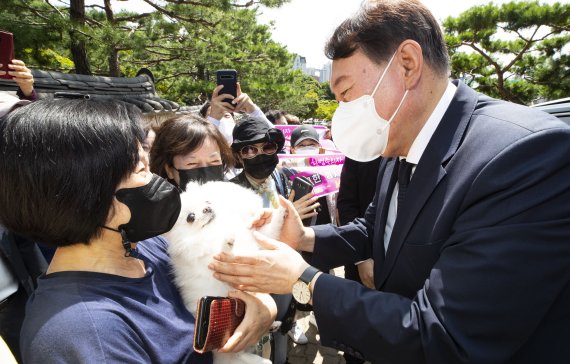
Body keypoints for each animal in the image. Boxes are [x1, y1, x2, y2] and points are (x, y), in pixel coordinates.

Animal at [163, 181, 282, 362]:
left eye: (207, 202)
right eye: (190, 217)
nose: (207, 209)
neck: (213, 229)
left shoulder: (252, 239)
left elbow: (266, 231)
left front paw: (279, 212)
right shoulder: (213, 262)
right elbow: (223, 252)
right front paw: (227, 241)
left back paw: (273, 326)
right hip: (230, 347)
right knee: (241, 356)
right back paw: (262, 360)